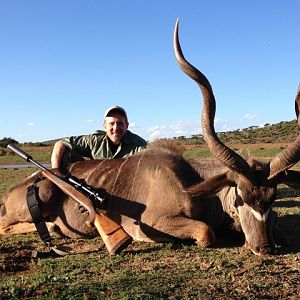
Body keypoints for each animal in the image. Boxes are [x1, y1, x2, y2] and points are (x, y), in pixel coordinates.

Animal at [0, 20, 300, 255]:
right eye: (241, 195)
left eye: (272, 197)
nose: (264, 248)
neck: (190, 180)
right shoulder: (151, 221)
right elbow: (206, 232)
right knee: (6, 225)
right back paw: (52, 228)